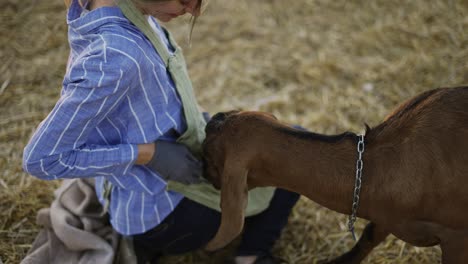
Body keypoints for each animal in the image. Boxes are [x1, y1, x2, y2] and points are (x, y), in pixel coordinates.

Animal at [203, 87, 468, 264]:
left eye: (209, 154)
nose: (203, 173)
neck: (379, 166)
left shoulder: (457, 238)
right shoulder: (387, 216)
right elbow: (366, 240)